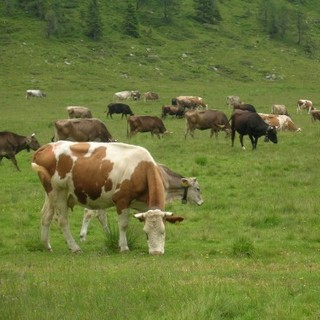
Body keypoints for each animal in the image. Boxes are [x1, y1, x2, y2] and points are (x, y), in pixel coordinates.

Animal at [31, 141, 185, 254]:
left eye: (163, 232)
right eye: (146, 233)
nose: (156, 253)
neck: (142, 168)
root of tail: (48, 146)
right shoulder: (122, 200)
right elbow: (123, 225)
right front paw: (124, 247)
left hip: (50, 194)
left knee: (46, 216)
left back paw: (46, 245)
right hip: (59, 193)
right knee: (62, 221)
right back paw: (75, 248)